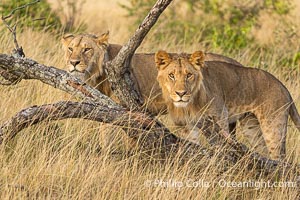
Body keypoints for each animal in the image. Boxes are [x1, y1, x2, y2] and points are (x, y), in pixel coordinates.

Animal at [155, 50, 300, 161]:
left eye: (189, 75)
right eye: (171, 75)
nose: (181, 93)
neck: (189, 105)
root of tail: (284, 87)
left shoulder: (220, 116)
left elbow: (221, 145)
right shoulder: (186, 126)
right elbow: (193, 143)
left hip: (273, 127)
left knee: (281, 159)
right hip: (251, 127)